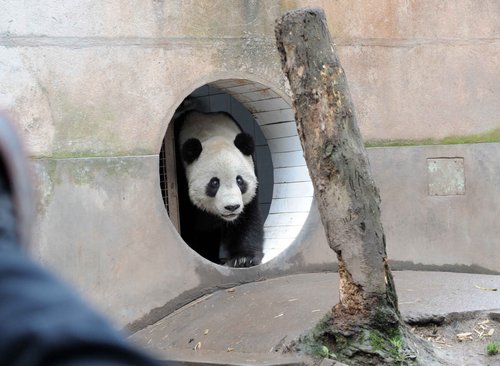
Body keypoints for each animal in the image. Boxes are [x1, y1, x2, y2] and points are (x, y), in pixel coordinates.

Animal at [176, 110, 264, 268]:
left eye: (239, 180)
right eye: (214, 183)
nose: (232, 207)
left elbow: (248, 217)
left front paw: (244, 258)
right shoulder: (180, 172)